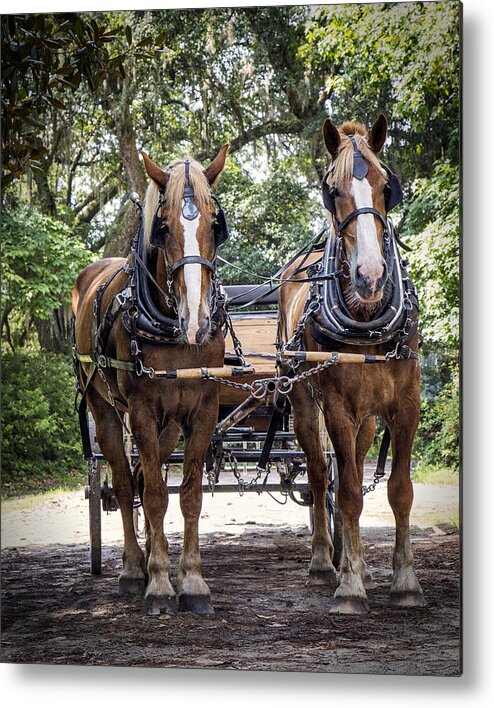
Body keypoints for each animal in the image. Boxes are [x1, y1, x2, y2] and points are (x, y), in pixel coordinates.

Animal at [71, 144, 228, 612]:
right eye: (163, 227)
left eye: (216, 224)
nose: (195, 321)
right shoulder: (139, 409)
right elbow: (155, 495)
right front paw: (159, 582)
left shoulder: (202, 409)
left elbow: (189, 495)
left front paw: (191, 581)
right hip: (104, 408)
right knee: (126, 485)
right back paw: (132, 568)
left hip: (169, 423)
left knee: (145, 473)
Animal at [280, 113, 422, 612]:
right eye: (332, 190)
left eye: (386, 186)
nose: (371, 276)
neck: (366, 323)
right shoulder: (338, 408)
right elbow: (347, 495)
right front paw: (350, 588)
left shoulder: (406, 405)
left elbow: (398, 491)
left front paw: (404, 580)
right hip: (305, 406)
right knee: (323, 477)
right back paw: (328, 562)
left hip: (367, 419)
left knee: (352, 469)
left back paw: (354, 561)